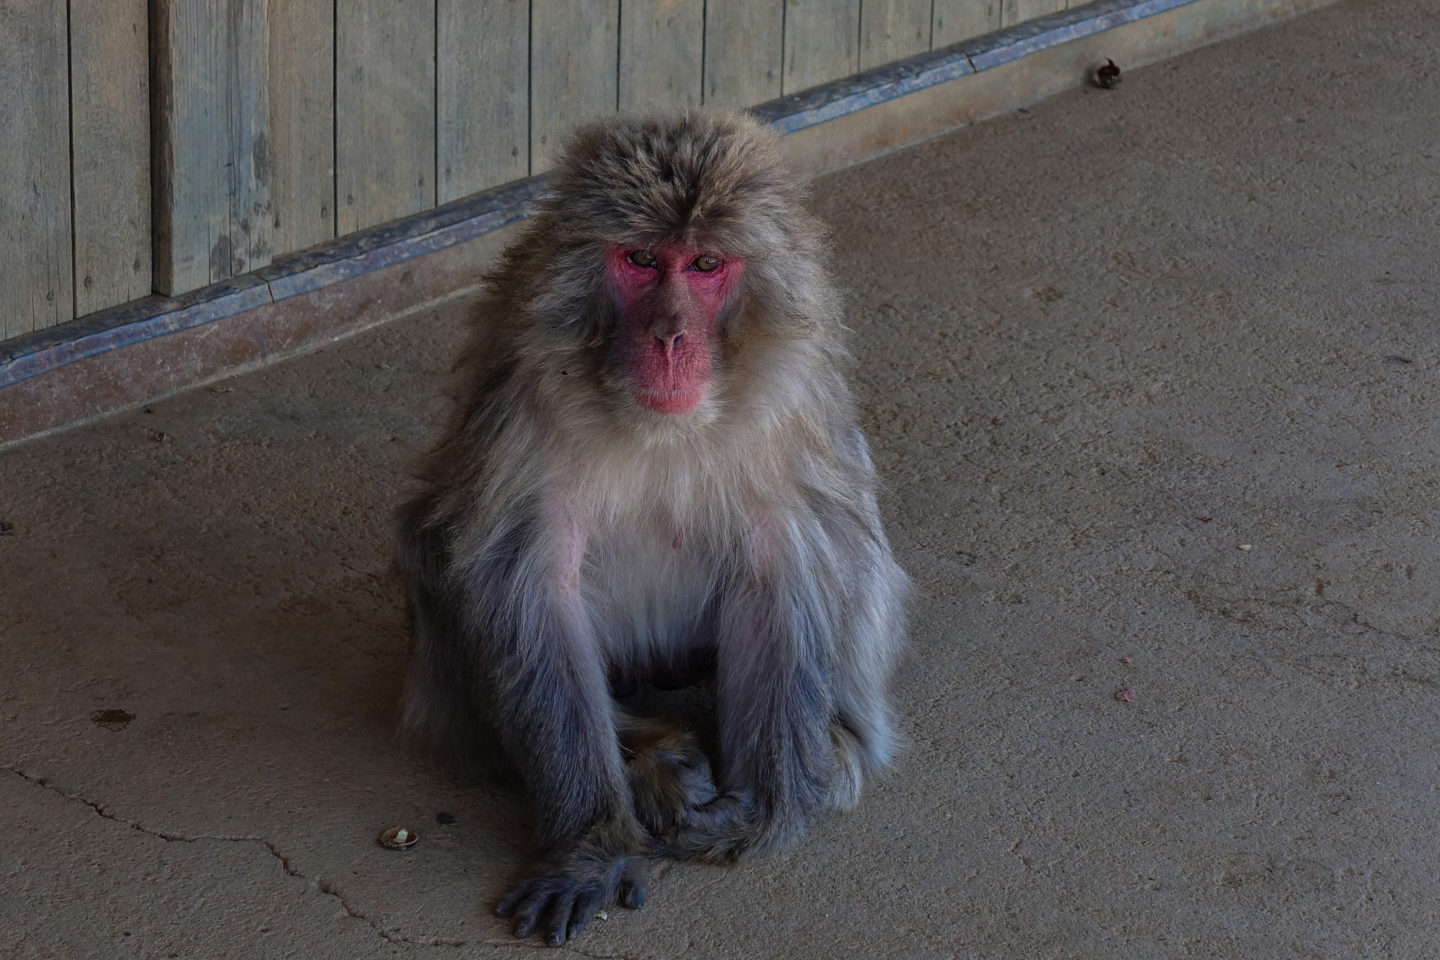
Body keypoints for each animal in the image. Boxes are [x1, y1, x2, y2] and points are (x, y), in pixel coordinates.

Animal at [394, 112, 904, 944]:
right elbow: (527, 584)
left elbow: (780, 562)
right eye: (639, 260)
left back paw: (828, 746)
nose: (669, 337)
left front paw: (758, 817)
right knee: (431, 545)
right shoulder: (520, 400)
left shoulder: (789, 402)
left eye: (705, 265)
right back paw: (655, 759)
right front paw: (593, 843)